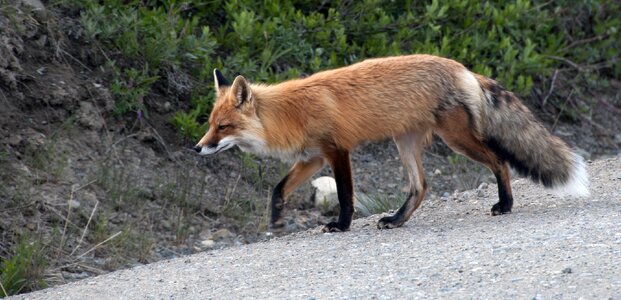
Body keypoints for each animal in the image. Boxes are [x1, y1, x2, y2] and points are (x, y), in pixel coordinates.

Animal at [194, 54, 588, 232]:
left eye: (223, 127)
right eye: (210, 125)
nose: (197, 148)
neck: (290, 113)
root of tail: (460, 66)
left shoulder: (336, 151)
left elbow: (346, 196)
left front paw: (341, 226)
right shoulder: (312, 158)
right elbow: (278, 188)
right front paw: (276, 219)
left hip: (456, 139)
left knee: (500, 161)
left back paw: (505, 204)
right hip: (406, 143)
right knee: (420, 187)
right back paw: (397, 219)